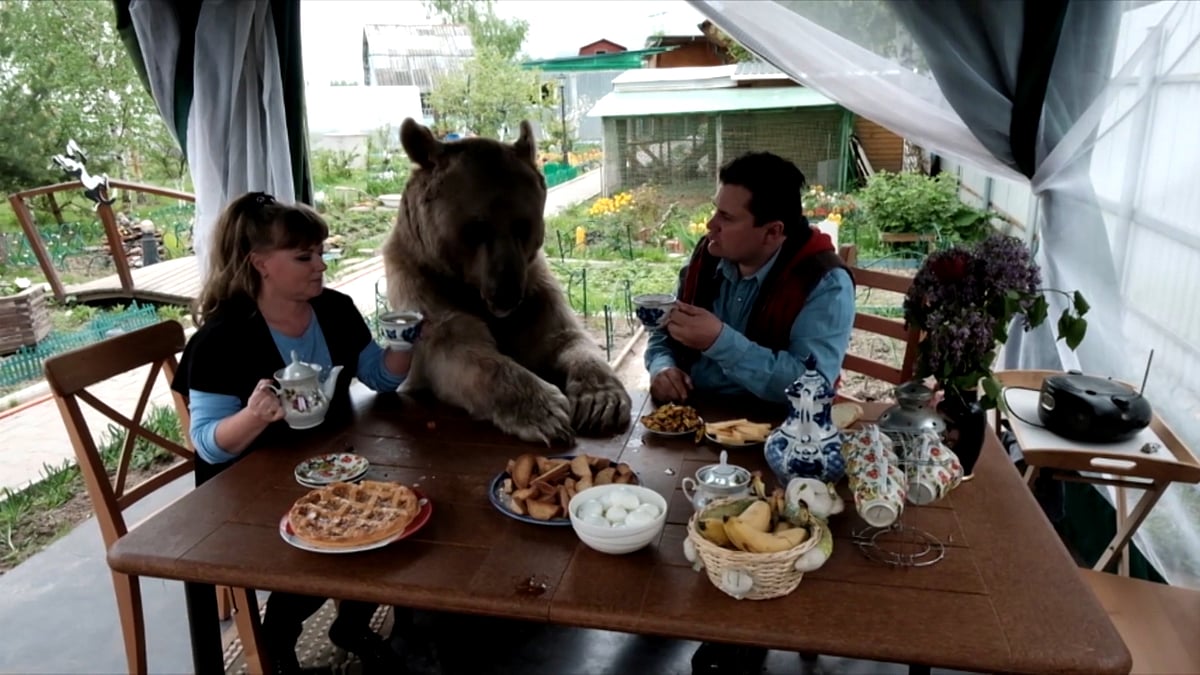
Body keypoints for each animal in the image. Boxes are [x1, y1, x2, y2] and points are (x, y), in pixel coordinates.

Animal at [382, 118, 632, 445]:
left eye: (523, 225)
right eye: (475, 229)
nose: (507, 293)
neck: (470, 289)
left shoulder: (537, 288)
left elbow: (566, 337)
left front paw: (601, 401)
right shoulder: (424, 286)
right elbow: (458, 349)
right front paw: (546, 411)